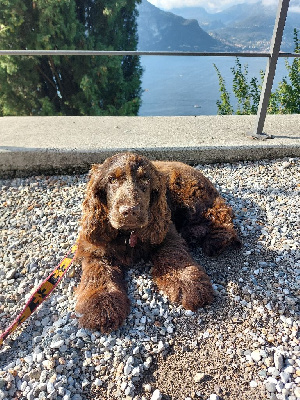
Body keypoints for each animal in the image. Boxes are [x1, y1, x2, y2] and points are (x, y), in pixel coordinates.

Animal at [75, 152, 241, 332]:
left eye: (145, 179)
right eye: (111, 180)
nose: (130, 211)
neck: (128, 233)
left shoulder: (165, 229)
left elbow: (174, 256)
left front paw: (188, 282)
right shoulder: (95, 247)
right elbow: (98, 274)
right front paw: (101, 305)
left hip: (190, 195)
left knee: (220, 214)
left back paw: (216, 240)